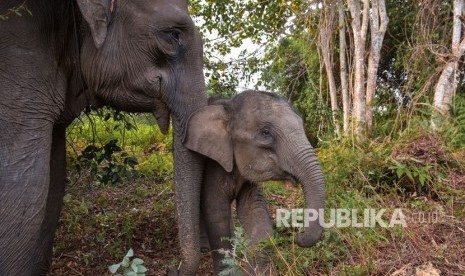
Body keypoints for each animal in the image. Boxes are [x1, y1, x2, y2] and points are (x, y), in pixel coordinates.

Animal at [183, 90, 324, 274]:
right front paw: (227, 272)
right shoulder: (212, 164)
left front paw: (256, 271)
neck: (229, 104)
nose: (299, 235)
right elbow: (216, 212)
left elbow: (254, 210)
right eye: (265, 133)